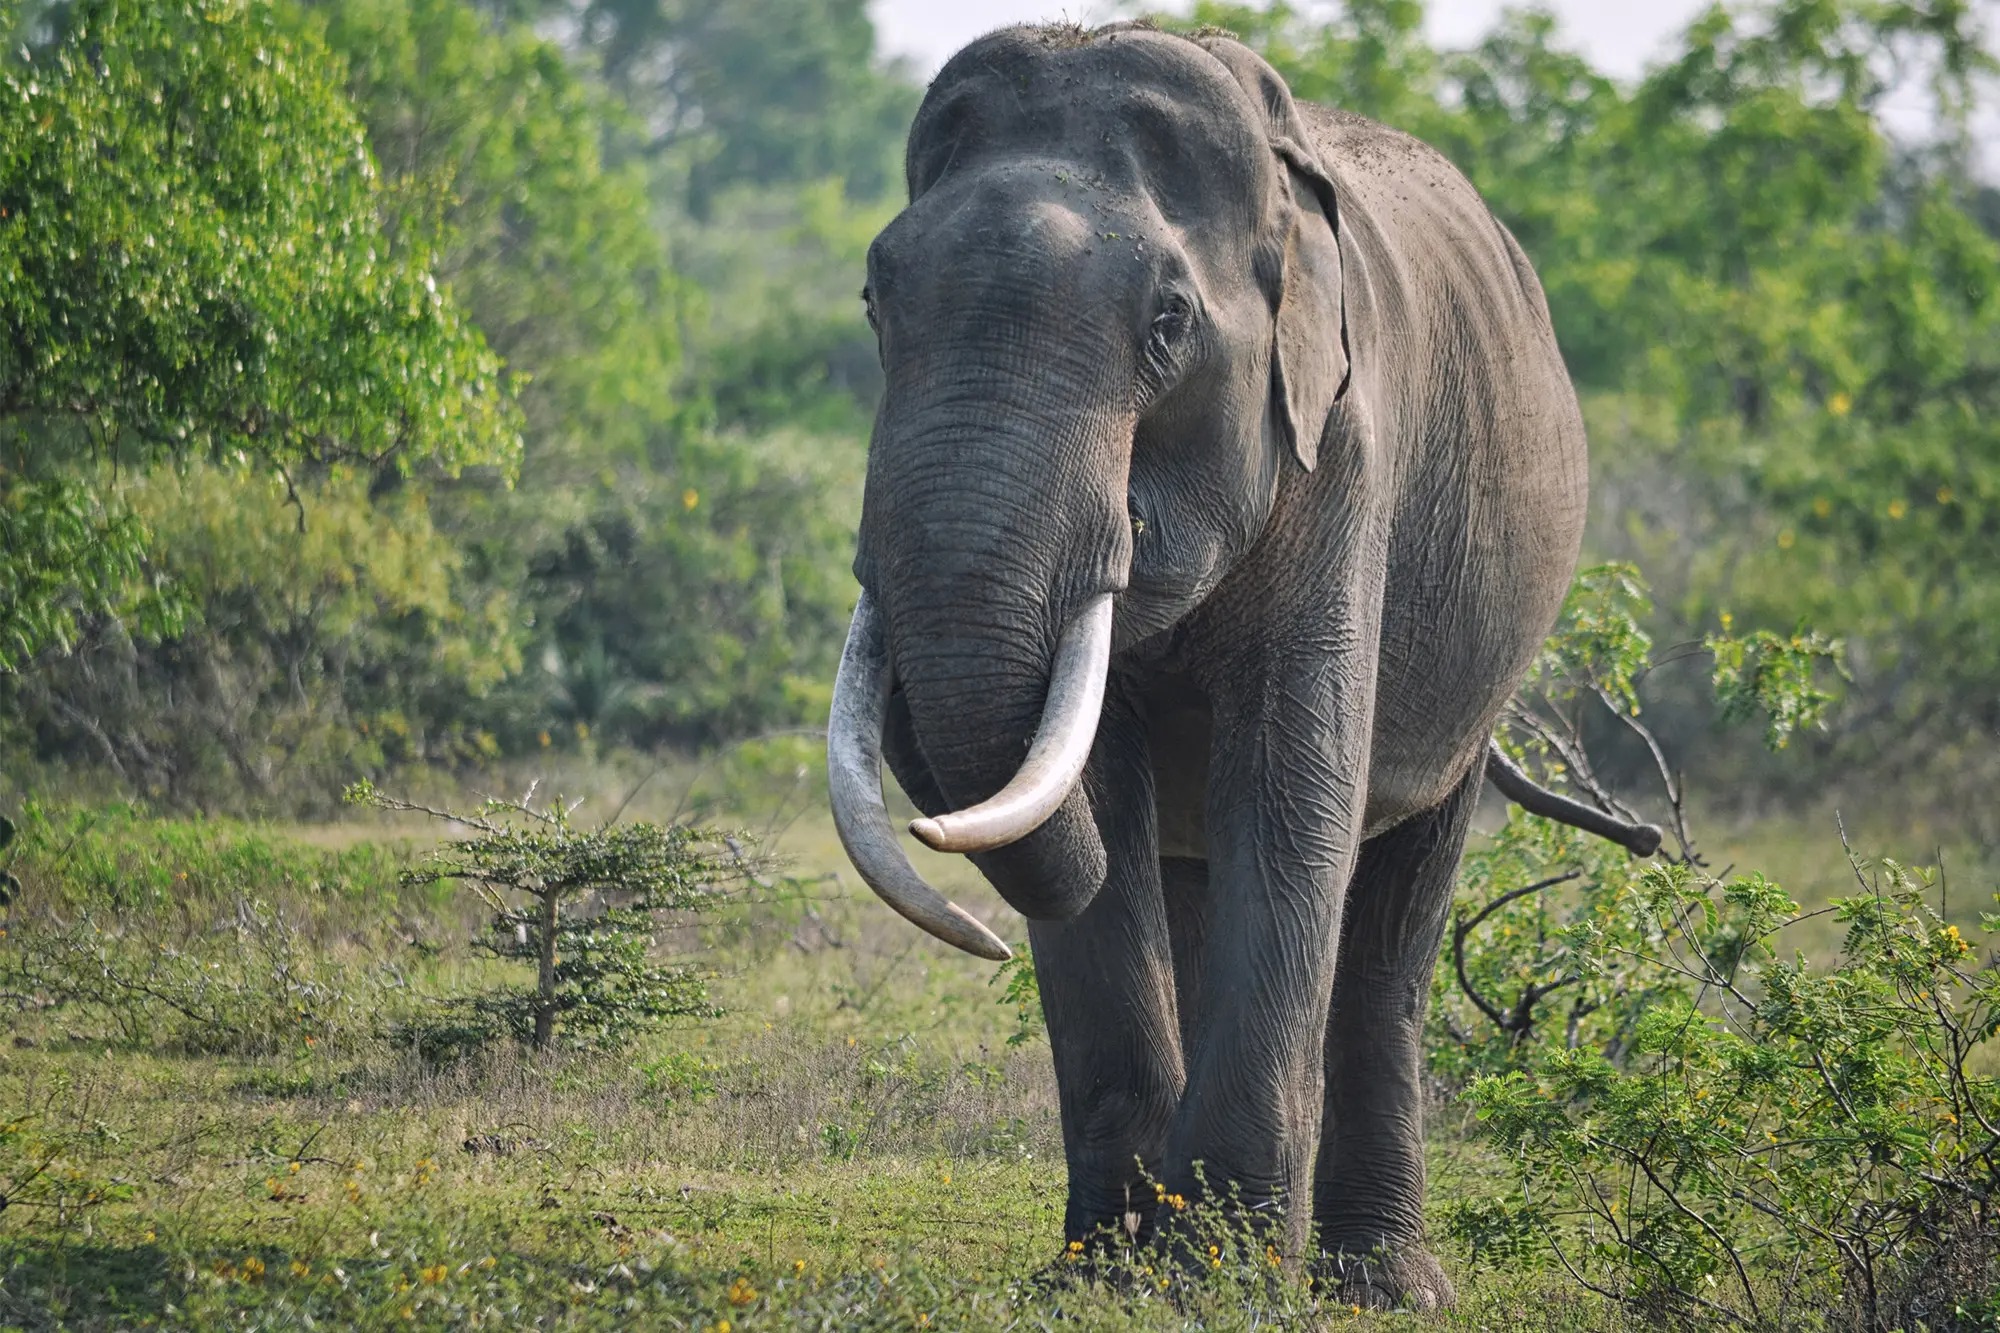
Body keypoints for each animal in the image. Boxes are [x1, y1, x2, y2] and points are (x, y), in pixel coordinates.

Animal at [820, 20, 1648, 1304]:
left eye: (1166, 325)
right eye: (874, 299)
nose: (982, 931)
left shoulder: (1341, 456)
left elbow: (1289, 789)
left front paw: (1220, 1281)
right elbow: (1098, 811)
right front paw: (1104, 1279)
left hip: (1481, 655)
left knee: (1396, 919)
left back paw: (1377, 1283)